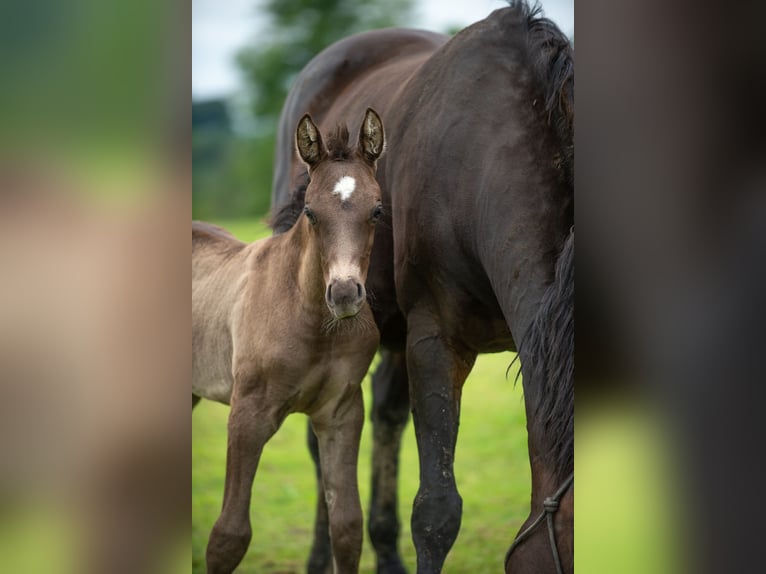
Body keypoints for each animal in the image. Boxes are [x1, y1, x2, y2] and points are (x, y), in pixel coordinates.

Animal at [192, 109, 384, 574]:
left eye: (377, 210)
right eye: (311, 213)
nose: (345, 294)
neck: (314, 321)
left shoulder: (342, 413)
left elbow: (347, 526)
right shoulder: (248, 413)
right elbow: (228, 536)